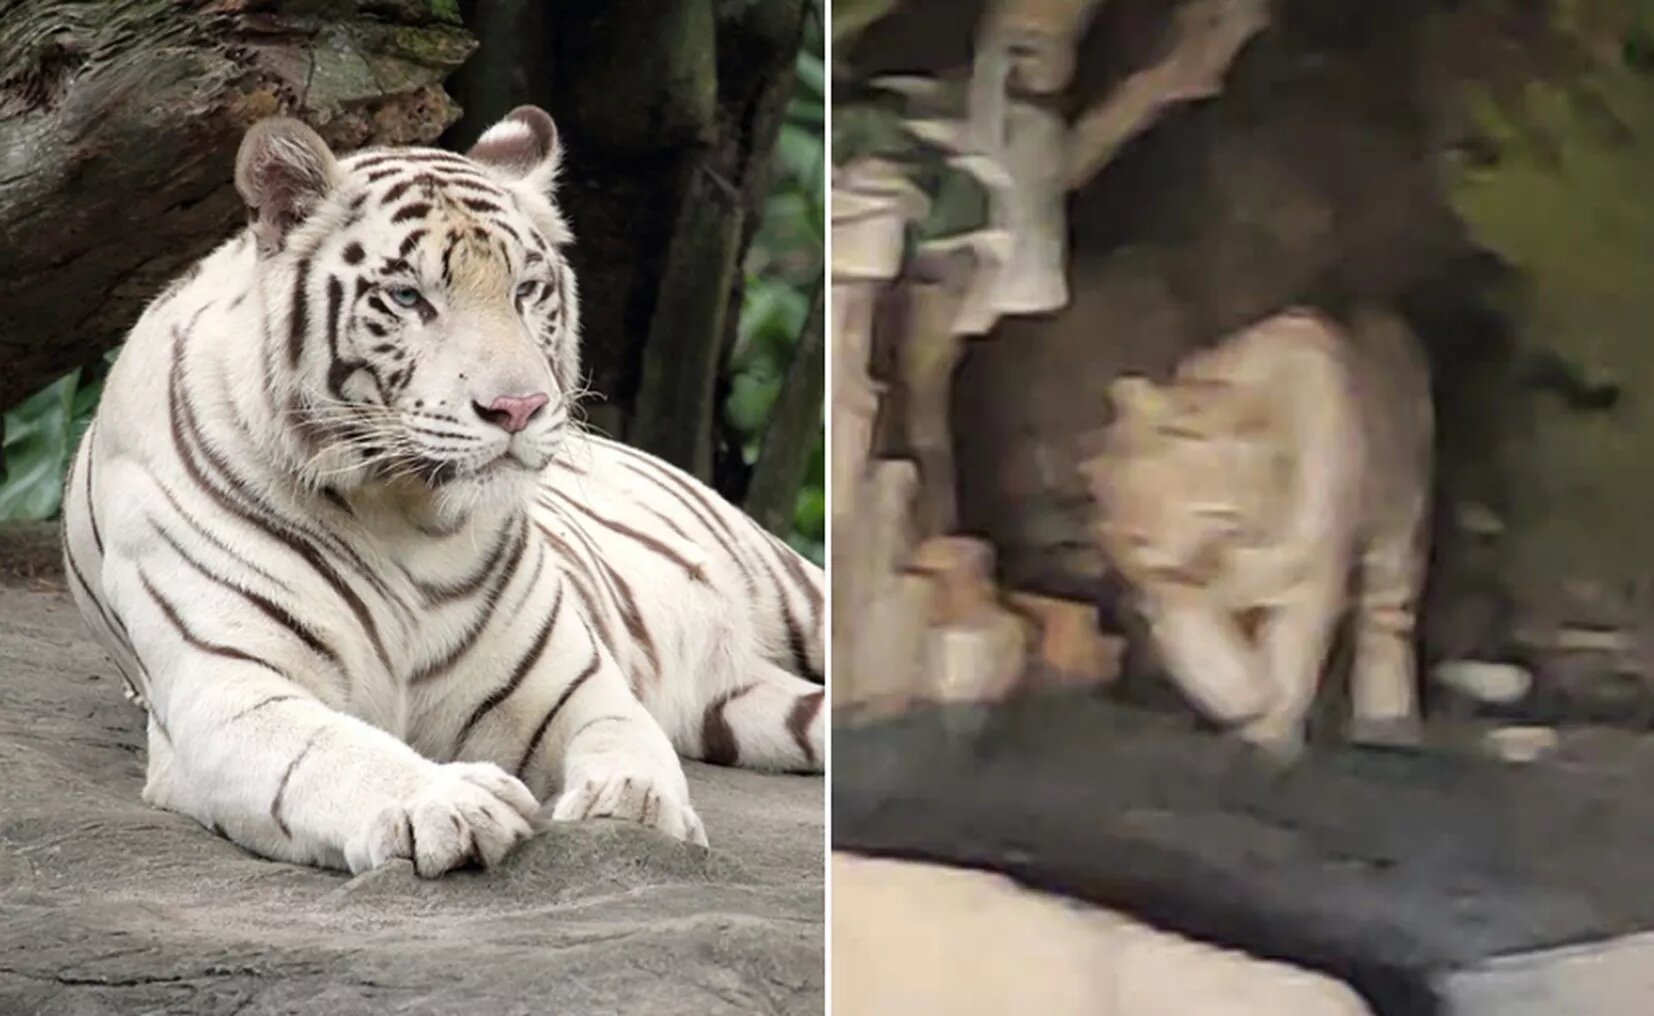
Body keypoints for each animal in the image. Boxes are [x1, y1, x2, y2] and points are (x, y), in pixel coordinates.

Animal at [58, 106, 826, 877]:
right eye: (407, 297)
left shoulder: (568, 685)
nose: (519, 408)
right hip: (749, 709)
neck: (403, 516)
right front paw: (448, 802)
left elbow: (624, 738)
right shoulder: (229, 690)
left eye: (525, 291)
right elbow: (331, 754)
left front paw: (633, 806)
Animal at [1083, 307, 1431, 759]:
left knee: (1385, 624)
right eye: (1106, 493)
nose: (1117, 539)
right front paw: (1245, 697)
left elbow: (1292, 660)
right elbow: (1198, 643)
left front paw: (1270, 731)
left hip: (1398, 539)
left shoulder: (1308, 584)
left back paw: (1386, 720)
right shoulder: (1170, 590)